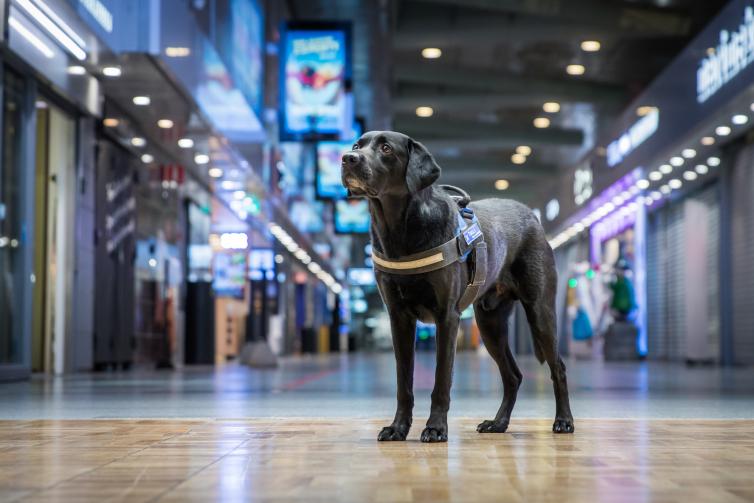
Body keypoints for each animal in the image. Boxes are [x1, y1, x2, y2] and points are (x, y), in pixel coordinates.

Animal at [344, 132, 572, 442]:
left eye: (386, 148)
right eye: (357, 145)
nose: (347, 158)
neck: (399, 228)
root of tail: (531, 215)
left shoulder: (447, 317)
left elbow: (441, 379)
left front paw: (436, 427)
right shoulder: (398, 319)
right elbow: (404, 383)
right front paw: (398, 428)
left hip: (540, 312)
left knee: (557, 367)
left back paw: (564, 421)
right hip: (489, 323)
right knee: (513, 376)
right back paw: (498, 423)